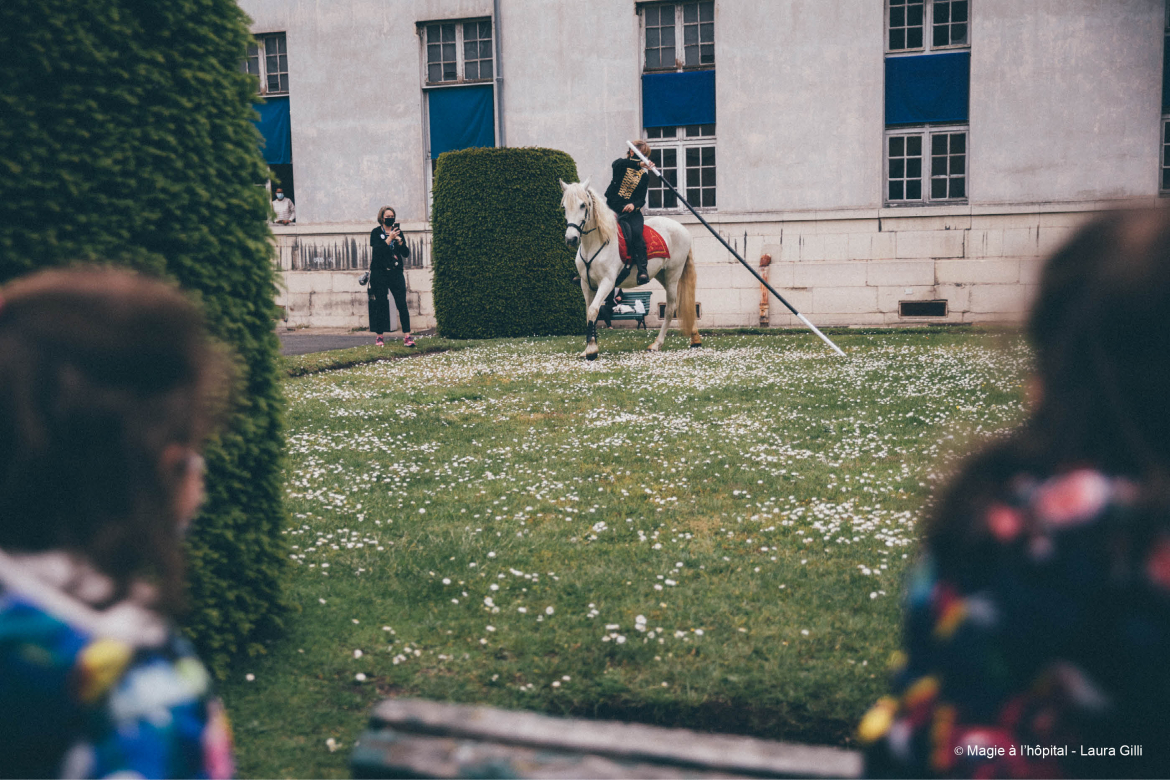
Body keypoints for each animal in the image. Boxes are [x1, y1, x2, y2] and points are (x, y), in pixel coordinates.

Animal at [561, 178, 697, 362]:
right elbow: (590, 313)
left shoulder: (607, 282)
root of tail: (683, 229)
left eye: (583, 205)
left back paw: (657, 344)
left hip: (672, 276)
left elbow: (594, 310)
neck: (596, 243)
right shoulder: (586, 284)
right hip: (662, 275)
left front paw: (591, 349)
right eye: (564, 207)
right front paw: (589, 347)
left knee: (670, 309)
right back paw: (695, 339)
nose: (571, 239)